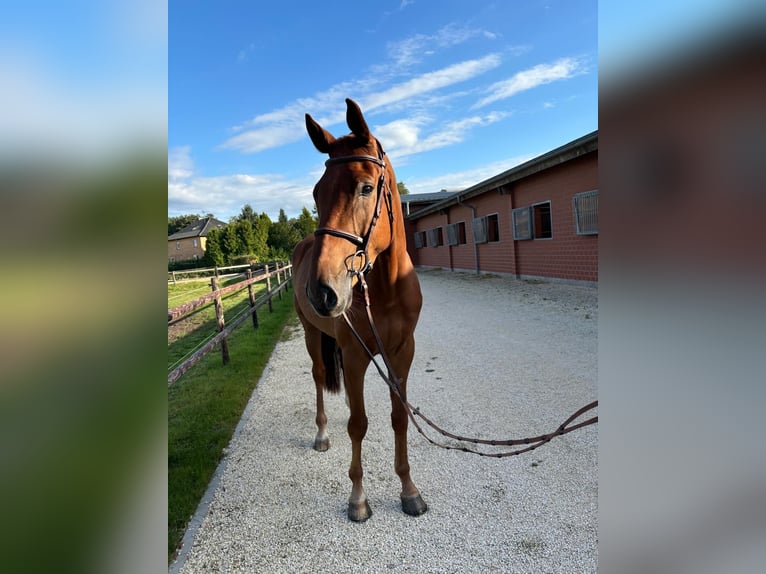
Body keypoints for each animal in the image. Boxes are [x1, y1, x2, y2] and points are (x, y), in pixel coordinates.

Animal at [294, 100, 428, 528]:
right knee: (320, 376)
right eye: (316, 192)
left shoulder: (401, 352)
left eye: (366, 187)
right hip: (311, 334)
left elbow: (398, 417)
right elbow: (359, 424)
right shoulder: (354, 354)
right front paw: (358, 498)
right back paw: (321, 434)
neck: (384, 289)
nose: (322, 291)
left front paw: (409, 491)